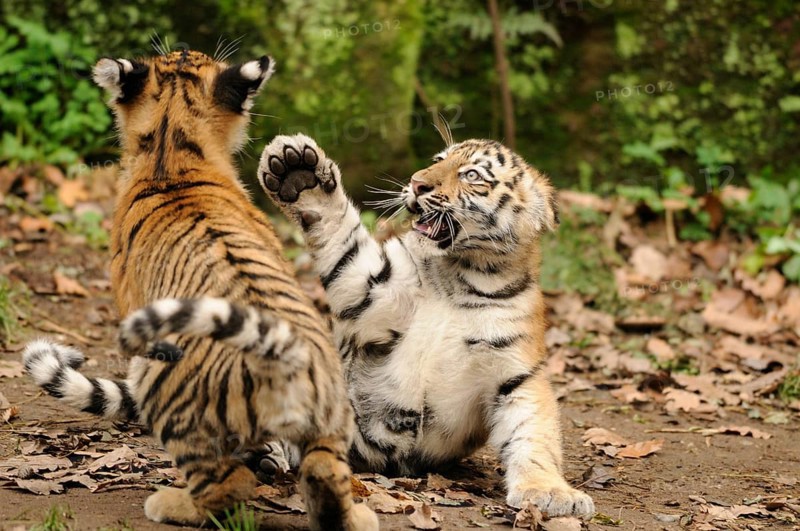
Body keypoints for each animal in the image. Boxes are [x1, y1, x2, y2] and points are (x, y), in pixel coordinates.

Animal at [22, 50, 377, 530]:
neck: (172, 153)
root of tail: (283, 355)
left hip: (164, 386)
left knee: (228, 484)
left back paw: (171, 503)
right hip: (330, 419)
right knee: (325, 479)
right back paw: (359, 516)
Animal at [252, 133, 595, 518]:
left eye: (472, 175)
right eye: (438, 159)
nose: (417, 183)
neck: (460, 275)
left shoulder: (517, 373)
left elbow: (534, 434)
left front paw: (552, 493)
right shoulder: (373, 289)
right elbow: (344, 241)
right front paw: (297, 172)